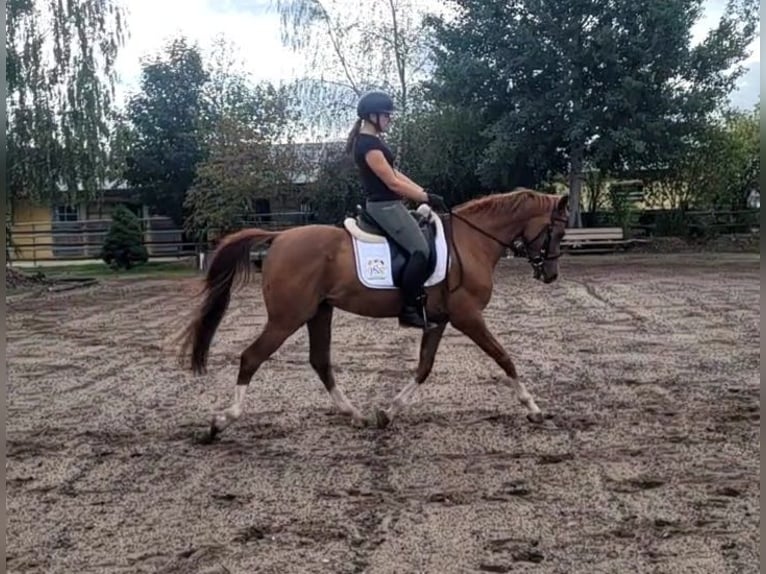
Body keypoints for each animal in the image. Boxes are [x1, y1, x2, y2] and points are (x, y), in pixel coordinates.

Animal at [179, 188, 569, 440]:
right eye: (559, 231)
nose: (550, 274)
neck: (471, 243)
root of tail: (279, 238)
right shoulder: (467, 316)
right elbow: (504, 358)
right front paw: (534, 408)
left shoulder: (439, 320)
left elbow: (424, 368)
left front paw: (388, 412)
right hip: (286, 318)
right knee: (252, 357)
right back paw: (221, 422)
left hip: (318, 312)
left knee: (319, 361)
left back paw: (355, 414)